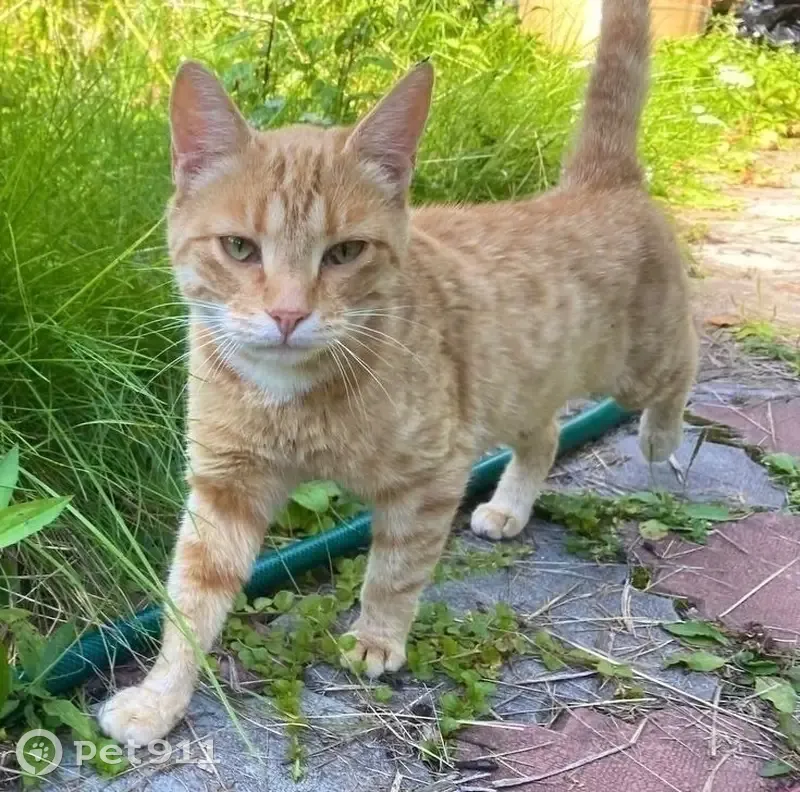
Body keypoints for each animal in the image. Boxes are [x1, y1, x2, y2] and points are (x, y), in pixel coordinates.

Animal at [99, 0, 695, 746]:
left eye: (345, 252)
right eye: (238, 248)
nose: (288, 314)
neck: (296, 397)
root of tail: (599, 182)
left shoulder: (432, 477)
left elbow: (394, 570)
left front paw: (377, 640)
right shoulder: (227, 485)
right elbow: (190, 601)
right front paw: (160, 698)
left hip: (635, 368)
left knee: (686, 361)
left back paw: (660, 438)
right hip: (521, 388)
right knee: (546, 437)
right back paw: (509, 506)